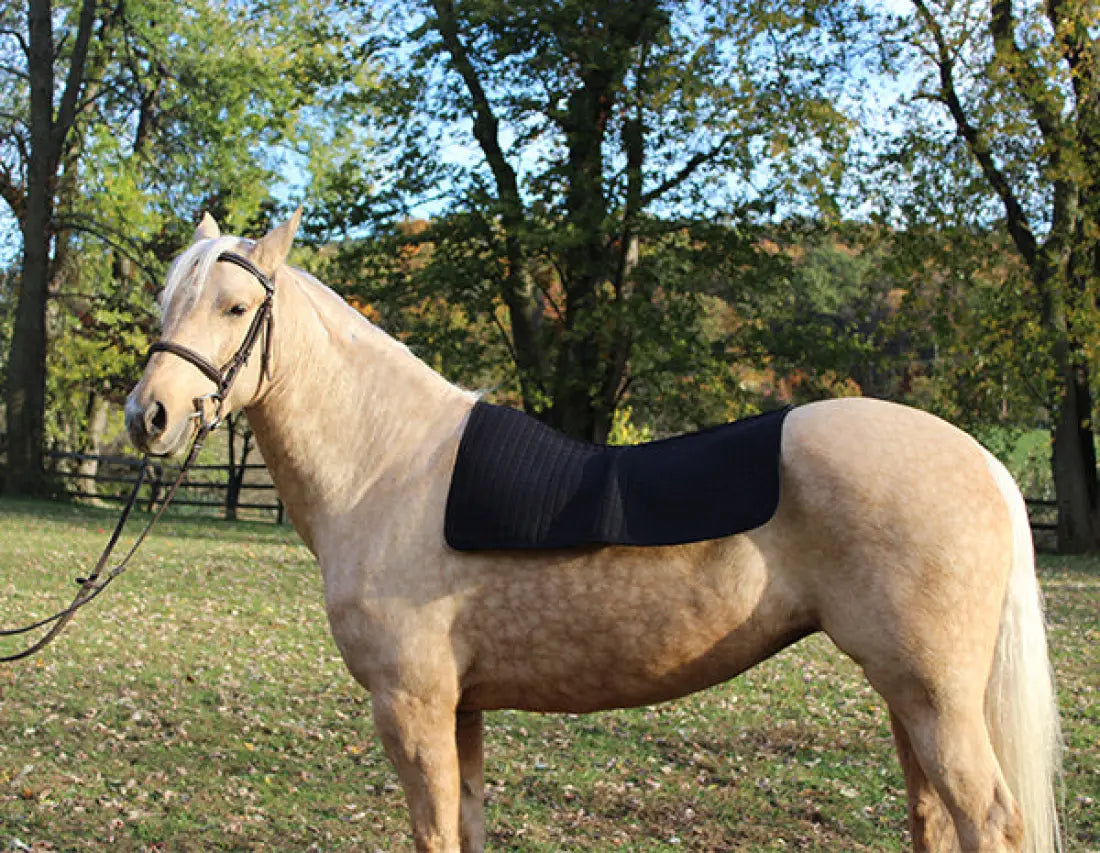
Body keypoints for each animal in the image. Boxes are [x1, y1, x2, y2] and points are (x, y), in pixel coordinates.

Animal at [124, 211, 1062, 853]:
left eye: (235, 305)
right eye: (167, 302)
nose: (149, 416)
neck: (387, 464)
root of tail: (983, 458)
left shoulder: (412, 704)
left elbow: (435, 832)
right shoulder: (460, 708)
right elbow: (466, 828)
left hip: (934, 696)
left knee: (990, 820)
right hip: (910, 697)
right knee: (935, 817)